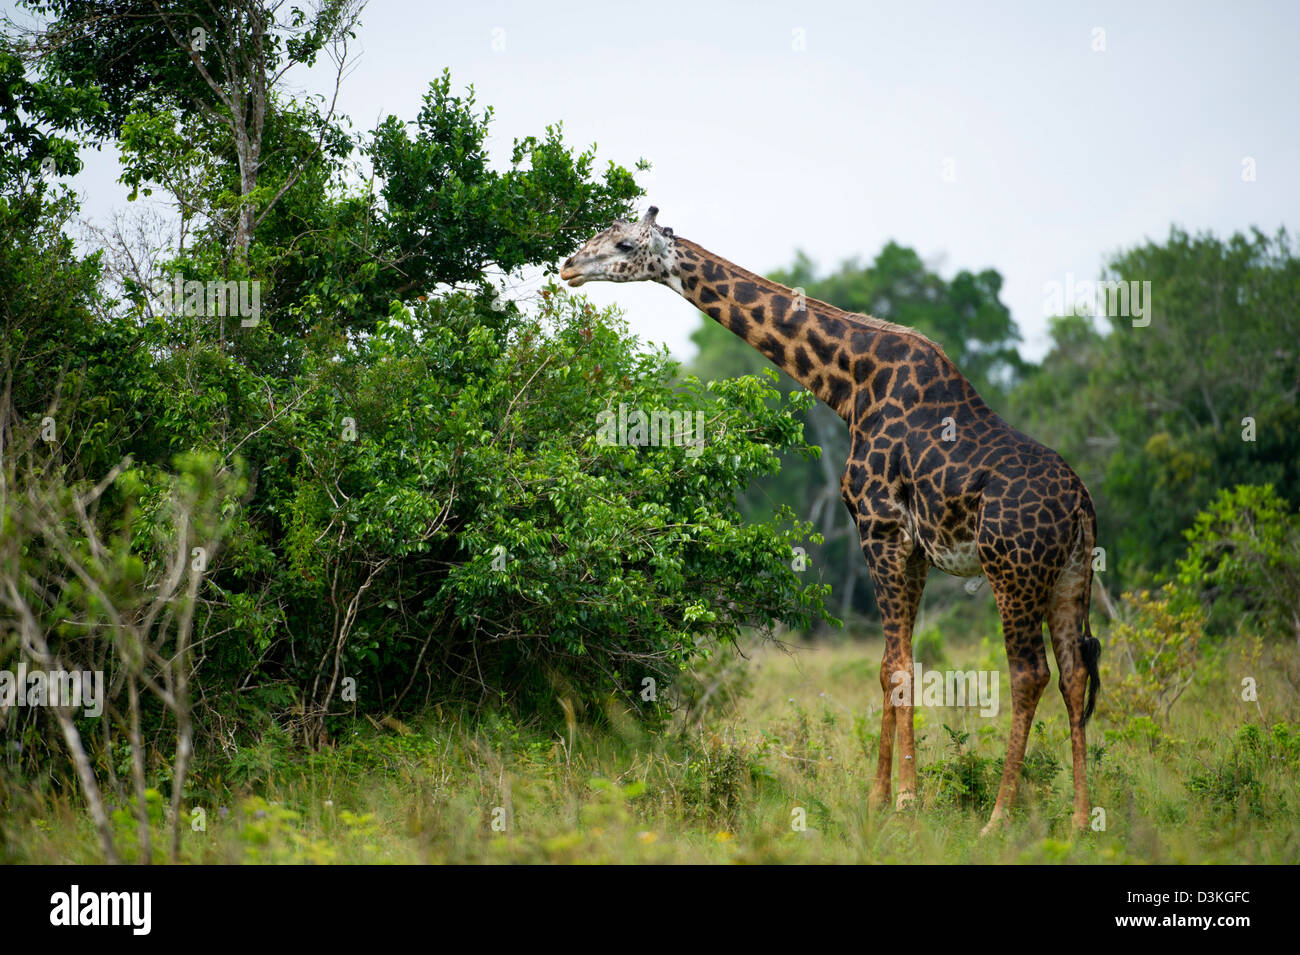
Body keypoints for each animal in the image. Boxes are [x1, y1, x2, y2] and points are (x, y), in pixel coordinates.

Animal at [564, 205, 1102, 831]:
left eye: (624, 243)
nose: (569, 266)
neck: (850, 385)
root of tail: (1080, 506)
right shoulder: (913, 547)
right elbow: (894, 662)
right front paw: (881, 799)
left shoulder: (880, 526)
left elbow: (898, 666)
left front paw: (904, 802)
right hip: (1069, 576)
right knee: (1074, 673)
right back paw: (1079, 820)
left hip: (1013, 570)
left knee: (1028, 673)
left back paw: (998, 819)